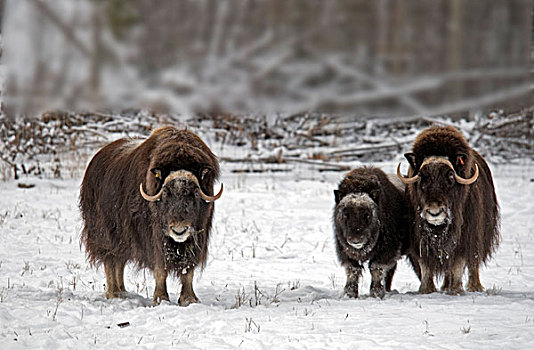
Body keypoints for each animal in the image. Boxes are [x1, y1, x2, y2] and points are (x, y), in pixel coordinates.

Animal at [78, 126, 223, 306]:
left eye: (195, 193)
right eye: (166, 192)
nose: (179, 230)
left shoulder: (196, 238)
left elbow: (188, 270)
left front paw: (189, 300)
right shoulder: (153, 237)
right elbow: (160, 268)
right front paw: (161, 299)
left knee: (120, 262)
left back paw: (123, 292)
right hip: (104, 233)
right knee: (110, 261)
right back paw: (114, 294)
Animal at [332, 167, 412, 298]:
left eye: (367, 215)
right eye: (346, 215)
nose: (356, 240)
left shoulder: (387, 249)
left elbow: (376, 267)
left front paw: (376, 293)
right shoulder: (344, 249)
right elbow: (353, 269)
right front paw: (350, 294)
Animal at [398, 126, 502, 296]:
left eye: (450, 177)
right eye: (421, 177)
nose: (434, 212)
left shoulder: (465, 236)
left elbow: (459, 262)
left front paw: (456, 290)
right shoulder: (418, 237)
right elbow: (425, 265)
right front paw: (426, 290)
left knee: (473, 262)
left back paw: (474, 287)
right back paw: (446, 286)